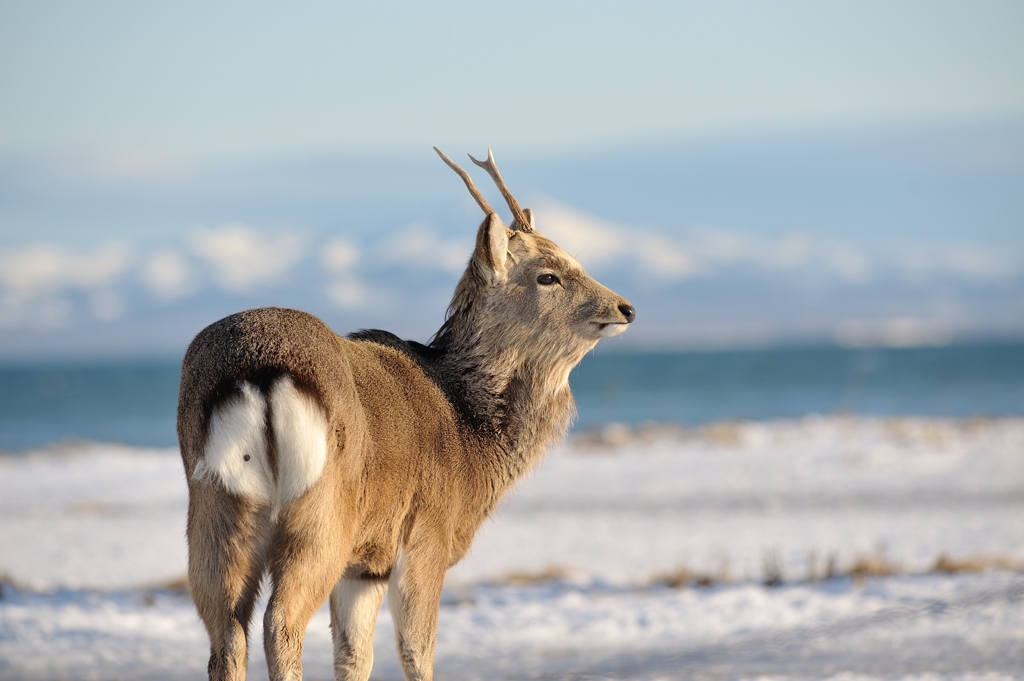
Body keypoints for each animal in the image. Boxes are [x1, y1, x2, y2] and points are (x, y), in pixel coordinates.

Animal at [180, 148, 634, 679]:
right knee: (281, 621)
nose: (625, 308)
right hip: (321, 509)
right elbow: (418, 652)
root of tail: (258, 369)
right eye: (548, 275)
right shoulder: (425, 535)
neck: (471, 435)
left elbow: (354, 656)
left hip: (214, 506)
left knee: (228, 635)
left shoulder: (366, 565)